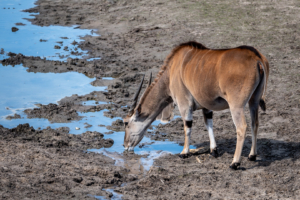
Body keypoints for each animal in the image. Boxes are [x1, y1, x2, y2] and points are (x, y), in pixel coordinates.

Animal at [122, 41, 270, 170]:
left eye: (125, 123)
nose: (125, 145)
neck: (172, 70)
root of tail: (257, 58)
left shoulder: (184, 105)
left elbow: (187, 127)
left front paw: (184, 152)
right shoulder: (207, 107)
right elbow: (208, 124)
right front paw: (213, 150)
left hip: (236, 106)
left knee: (241, 127)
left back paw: (235, 163)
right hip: (254, 102)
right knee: (255, 123)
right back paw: (252, 155)